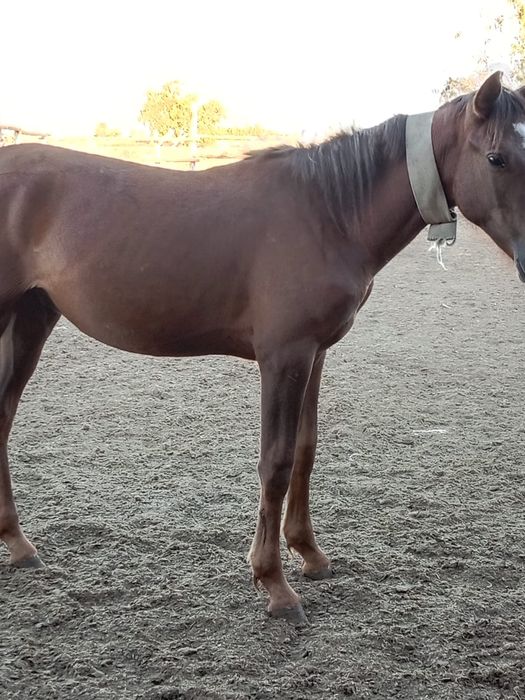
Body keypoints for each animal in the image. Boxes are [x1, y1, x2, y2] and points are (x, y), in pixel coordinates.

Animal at [1, 72, 524, 624]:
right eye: (496, 158)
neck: (328, 213)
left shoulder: (315, 353)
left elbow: (304, 450)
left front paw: (310, 554)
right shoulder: (284, 357)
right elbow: (274, 462)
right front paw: (274, 584)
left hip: (32, 316)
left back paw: (18, 544)